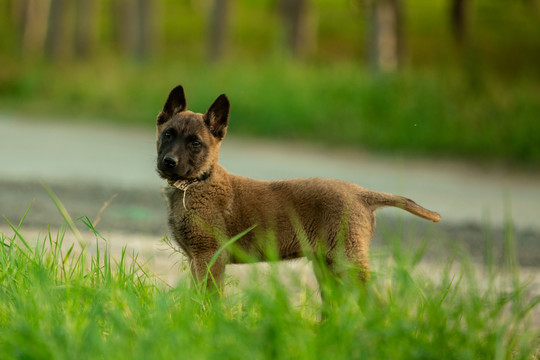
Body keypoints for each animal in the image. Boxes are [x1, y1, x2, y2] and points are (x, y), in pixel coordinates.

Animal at [155, 85, 438, 292]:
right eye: (168, 134)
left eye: (195, 143)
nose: (169, 162)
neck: (196, 183)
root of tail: (360, 192)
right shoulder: (196, 258)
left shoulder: (209, 256)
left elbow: (208, 299)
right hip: (328, 266)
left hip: (347, 260)